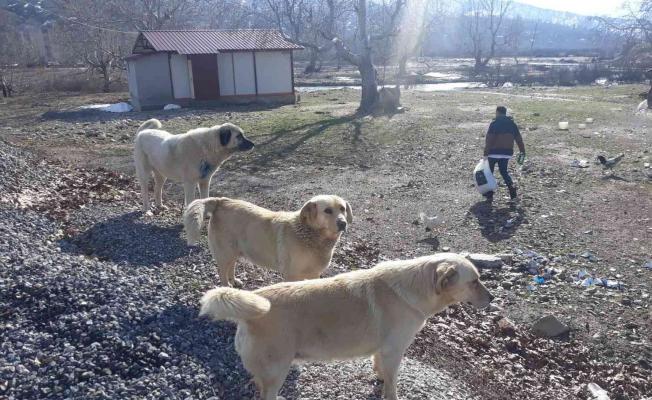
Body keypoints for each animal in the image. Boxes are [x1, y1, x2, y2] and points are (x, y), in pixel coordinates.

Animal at [184, 195, 352, 286]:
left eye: (342, 209)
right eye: (328, 211)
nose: (343, 223)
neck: (310, 235)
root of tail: (221, 201)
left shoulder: (314, 274)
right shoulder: (291, 275)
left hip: (234, 251)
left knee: (231, 267)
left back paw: (235, 281)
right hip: (225, 252)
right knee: (222, 273)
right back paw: (227, 286)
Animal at [200, 253, 493, 400]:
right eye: (474, 281)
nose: (492, 299)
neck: (416, 287)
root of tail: (250, 308)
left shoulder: (383, 351)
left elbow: (380, 369)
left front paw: (379, 377)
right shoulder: (394, 351)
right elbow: (392, 385)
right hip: (277, 371)